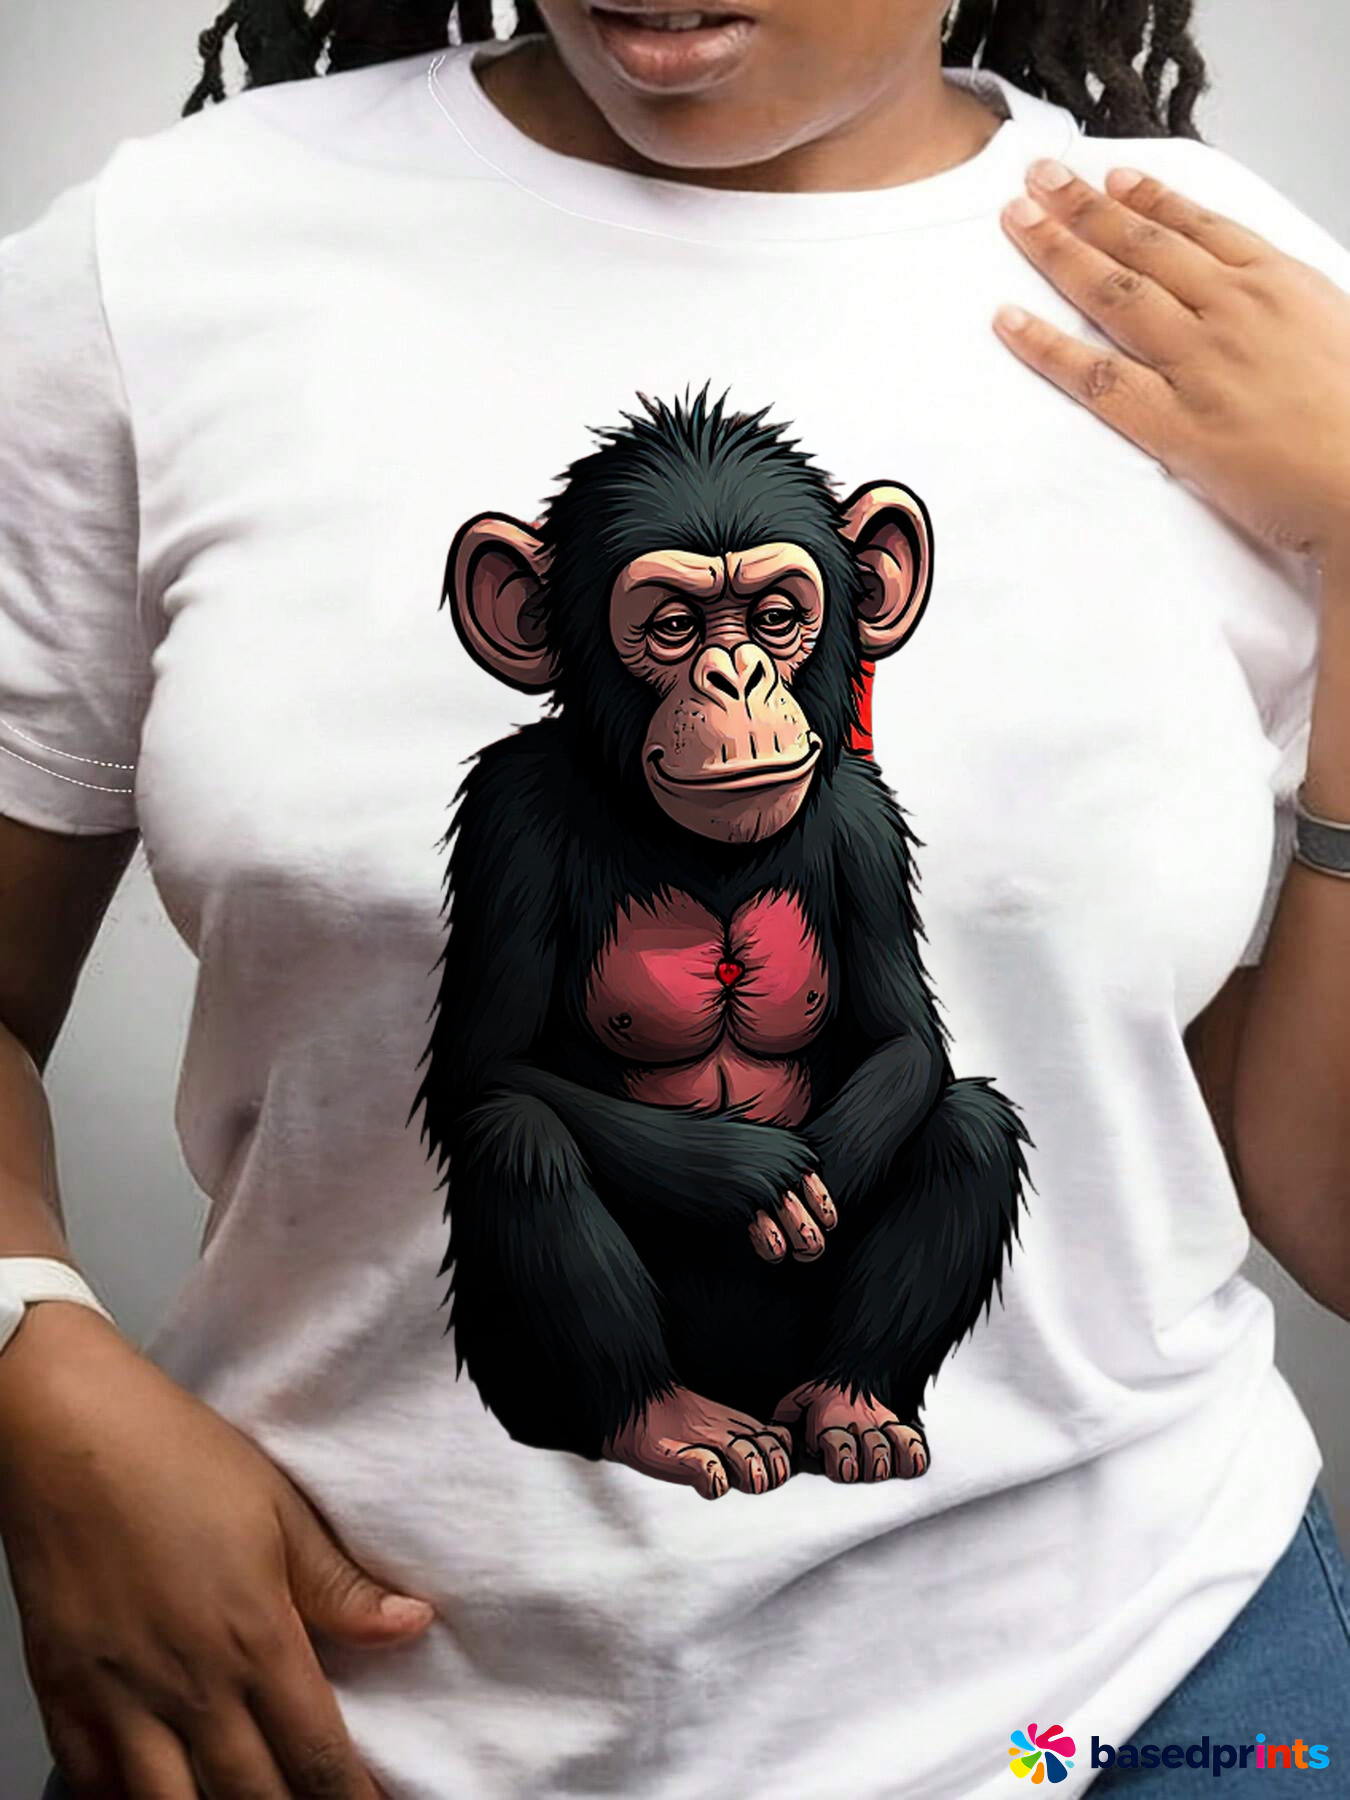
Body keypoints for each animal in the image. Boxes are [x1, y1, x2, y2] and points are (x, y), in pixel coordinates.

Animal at [411, 386, 1031, 1501]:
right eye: (671, 625)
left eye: (777, 619)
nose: (736, 673)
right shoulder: (506, 819)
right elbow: (487, 1069)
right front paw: (757, 1177)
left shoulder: (865, 822)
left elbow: (905, 1040)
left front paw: (818, 1170)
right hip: (522, 1380)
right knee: (516, 1137)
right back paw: (669, 1421)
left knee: (970, 1125)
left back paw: (852, 1406)